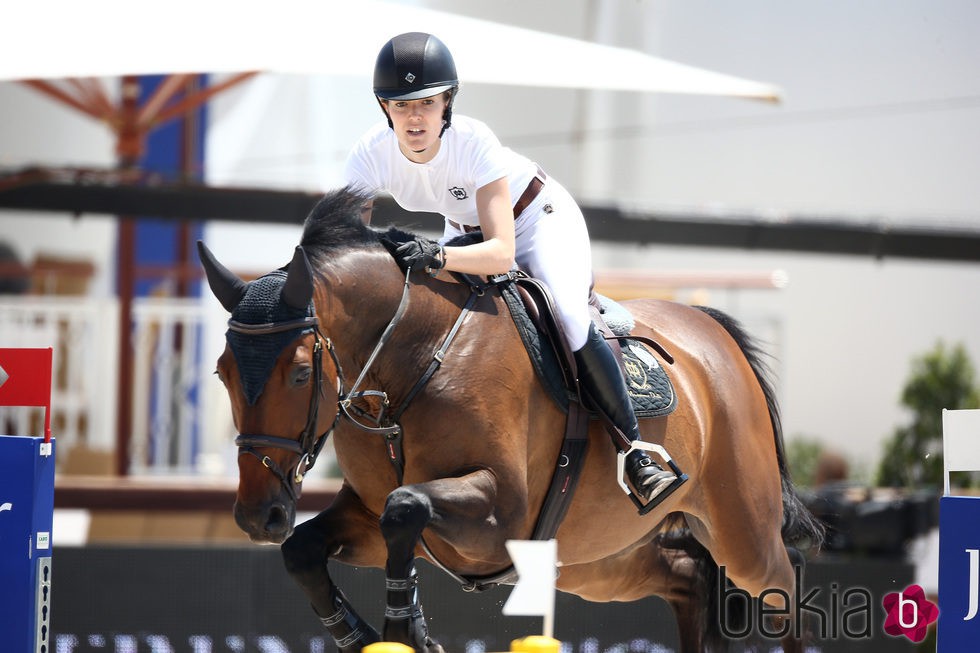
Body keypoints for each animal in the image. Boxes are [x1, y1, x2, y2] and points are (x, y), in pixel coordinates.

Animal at [203, 188, 824, 652]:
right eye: (221, 373)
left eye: (300, 374)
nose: (258, 516)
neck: (412, 362)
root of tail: (713, 332)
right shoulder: (371, 517)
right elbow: (304, 549)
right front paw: (369, 634)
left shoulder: (500, 514)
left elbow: (407, 507)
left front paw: (407, 630)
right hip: (598, 562)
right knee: (689, 578)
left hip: (740, 532)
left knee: (784, 584)